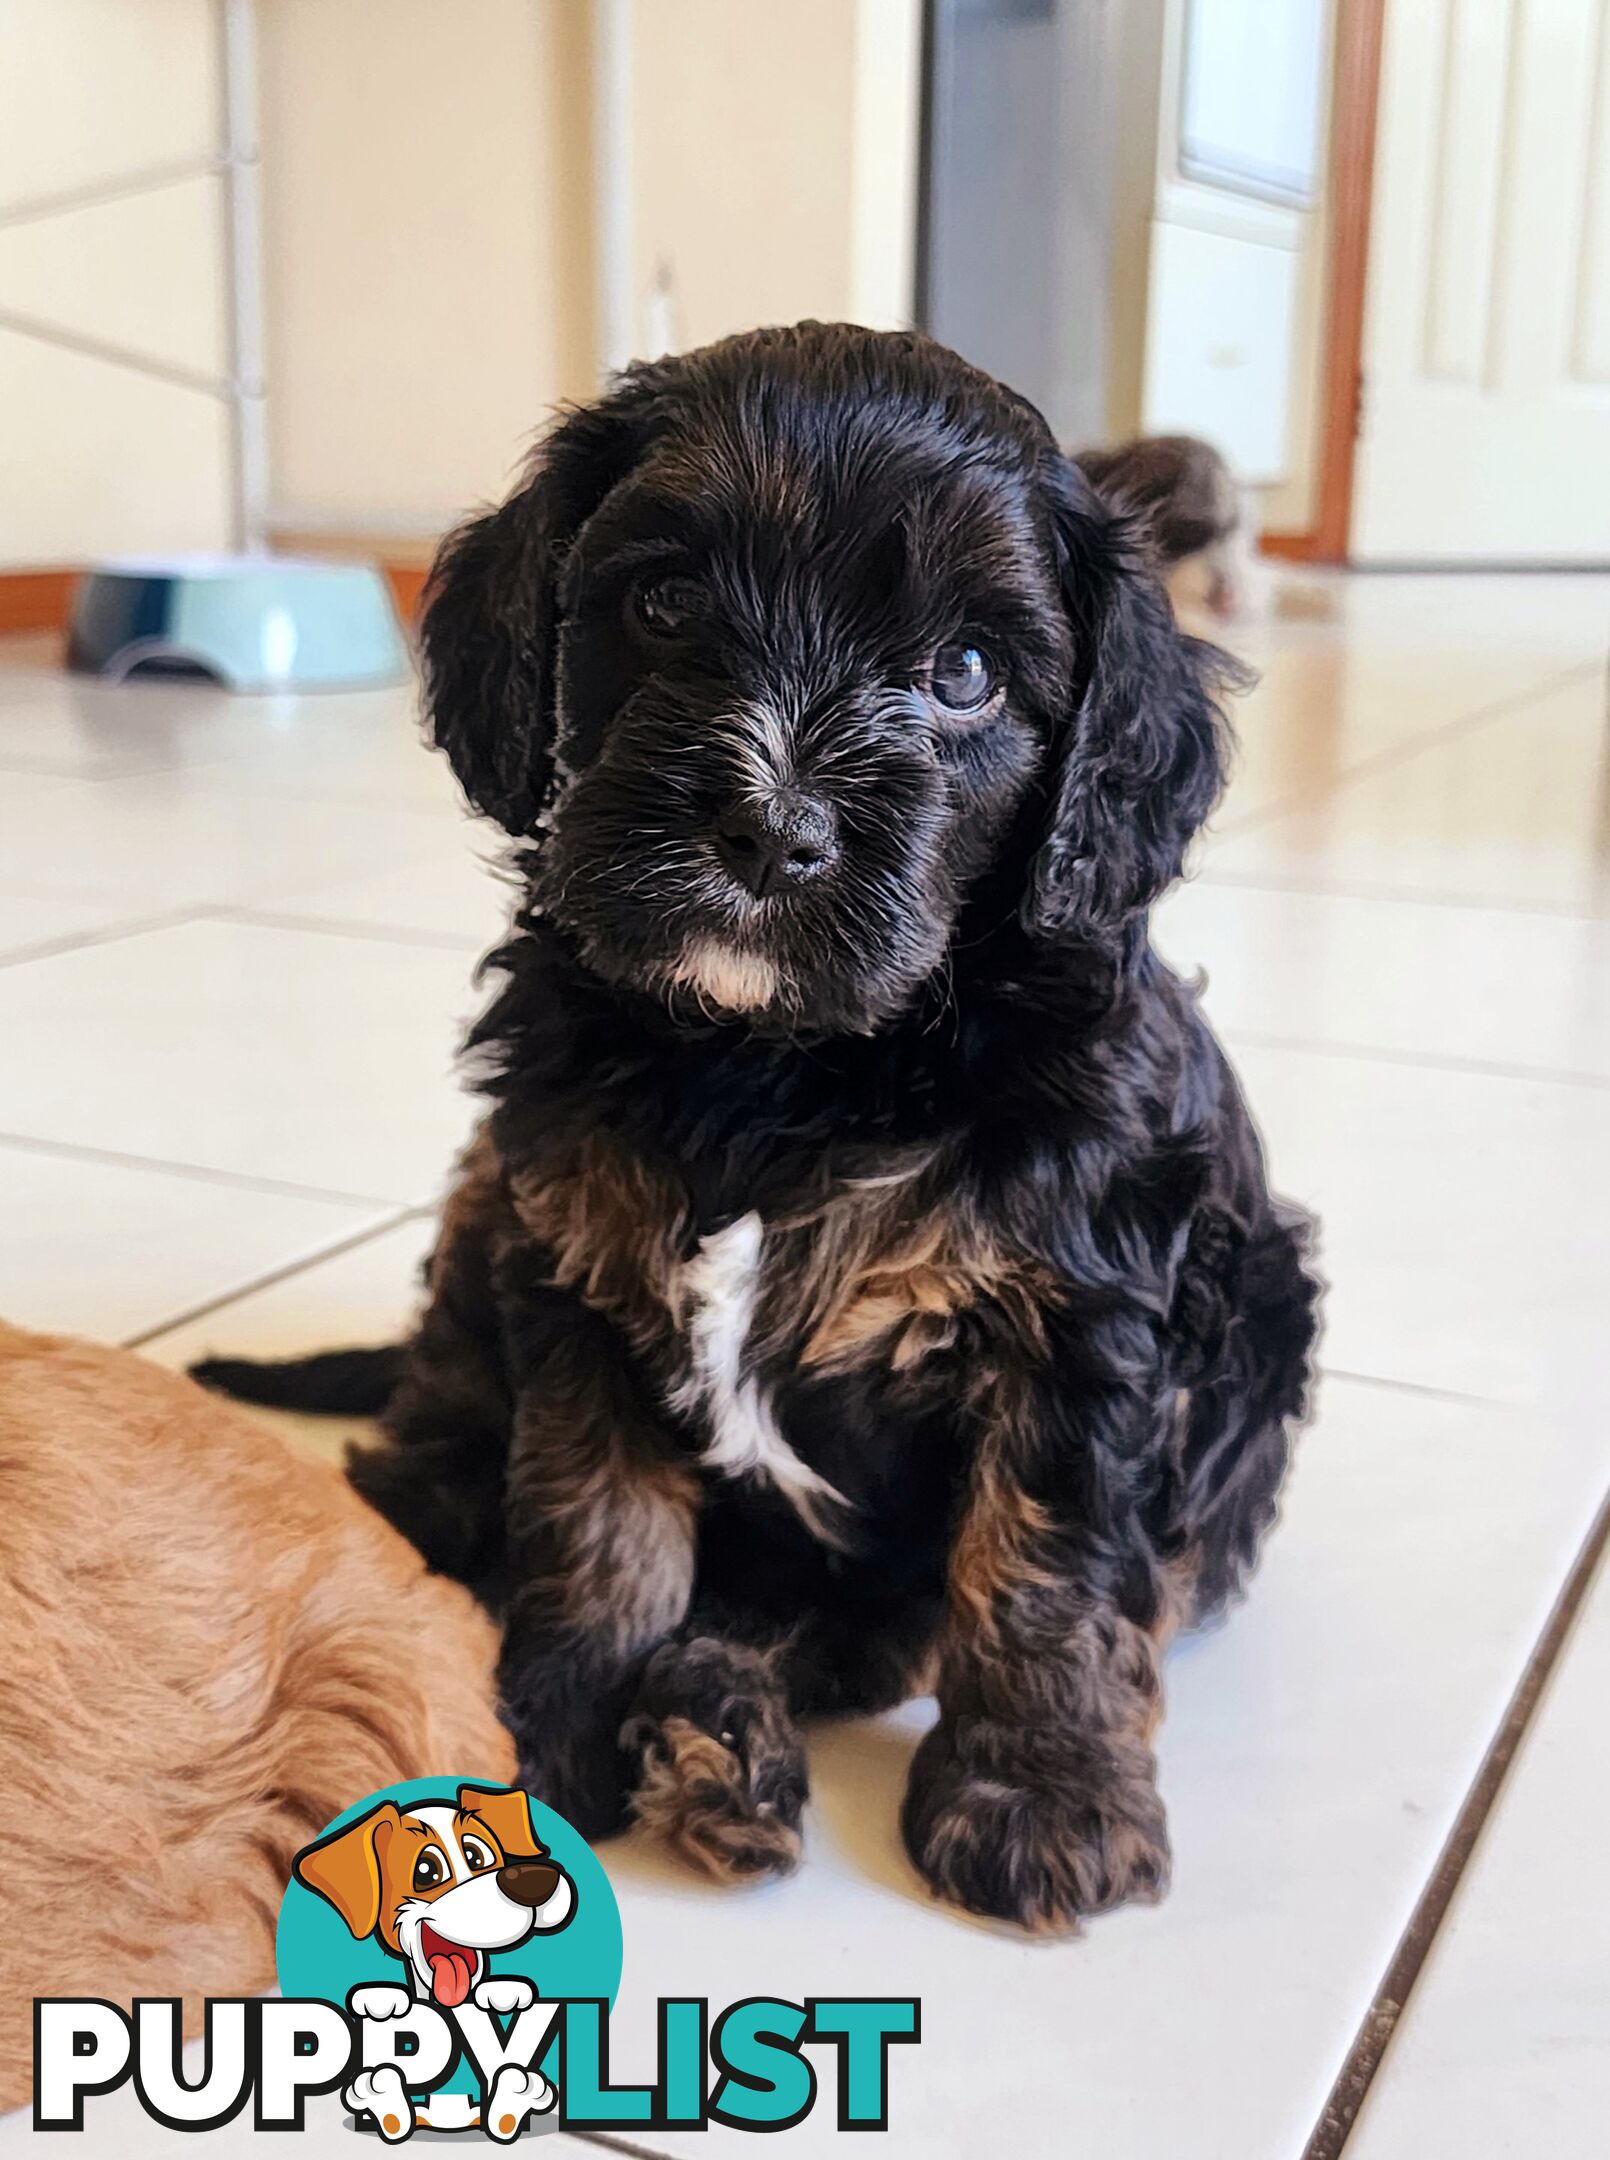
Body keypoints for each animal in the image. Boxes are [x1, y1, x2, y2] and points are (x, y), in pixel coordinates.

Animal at [200, 328, 1313, 1935]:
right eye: (664, 602)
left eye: (964, 673)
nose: (768, 831)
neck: (782, 1067)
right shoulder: (574, 1259)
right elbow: (593, 1519)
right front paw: (553, 1731)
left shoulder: (1079, 1313)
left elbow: (1045, 1558)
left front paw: (1039, 1797)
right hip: (481, 1212)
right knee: (440, 1441)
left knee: (859, 1626)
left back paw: (719, 1741)